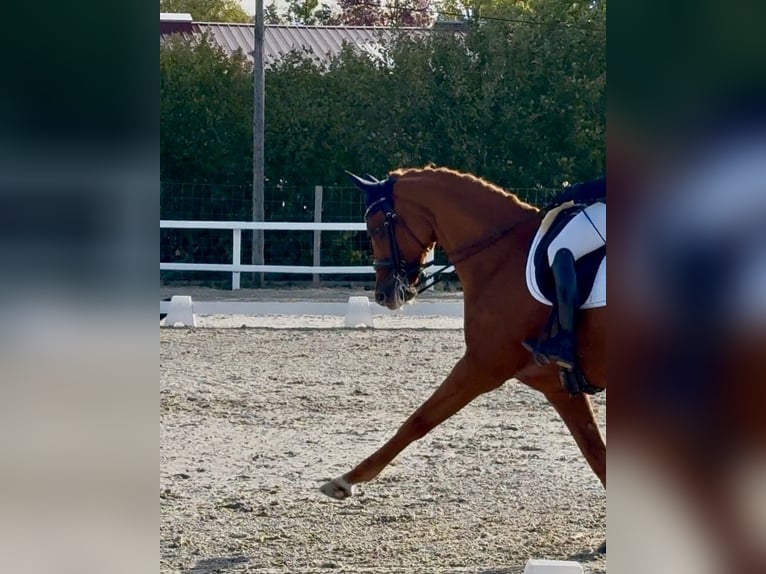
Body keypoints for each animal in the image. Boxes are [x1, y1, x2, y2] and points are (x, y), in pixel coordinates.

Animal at [319, 166, 606, 550]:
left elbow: (418, 421)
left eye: (377, 227)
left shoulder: (481, 366)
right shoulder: (558, 386)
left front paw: (346, 481)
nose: (382, 295)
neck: (501, 256)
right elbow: (596, 452)